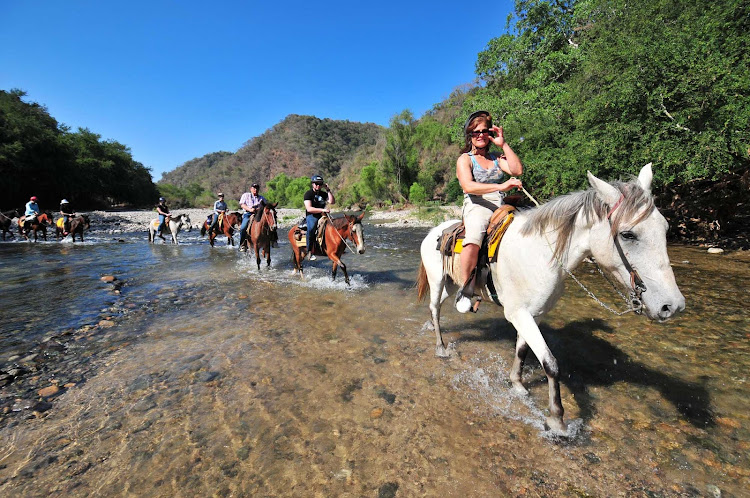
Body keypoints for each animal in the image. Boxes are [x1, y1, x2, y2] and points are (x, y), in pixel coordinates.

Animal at [418, 164, 688, 432]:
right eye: (628, 234)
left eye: (665, 229)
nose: (672, 306)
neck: (539, 255)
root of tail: (435, 231)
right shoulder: (517, 313)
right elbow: (550, 363)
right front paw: (557, 419)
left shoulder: (533, 314)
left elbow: (522, 351)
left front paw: (517, 384)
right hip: (437, 279)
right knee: (434, 308)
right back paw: (441, 347)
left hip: (451, 283)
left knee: (438, 305)